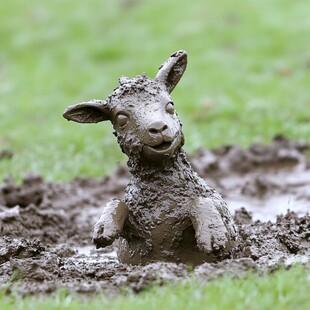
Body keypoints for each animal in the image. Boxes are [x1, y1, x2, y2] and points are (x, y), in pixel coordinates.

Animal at [63, 50, 237, 264]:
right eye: (121, 118)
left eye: (170, 106)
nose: (158, 127)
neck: (162, 194)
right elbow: (116, 202)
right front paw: (103, 228)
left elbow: (202, 203)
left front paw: (212, 235)